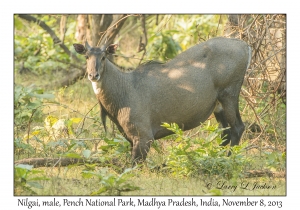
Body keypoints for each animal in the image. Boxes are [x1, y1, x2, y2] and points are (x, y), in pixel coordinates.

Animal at [74, 37, 252, 163]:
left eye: (104, 57)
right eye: (87, 56)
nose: (93, 75)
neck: (125, 88)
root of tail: (245, 46)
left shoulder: (144, 137)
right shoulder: (131, 137)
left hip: (229, 94)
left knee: (237, 128)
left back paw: (227, 160)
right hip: (218, 105)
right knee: (225, 132)